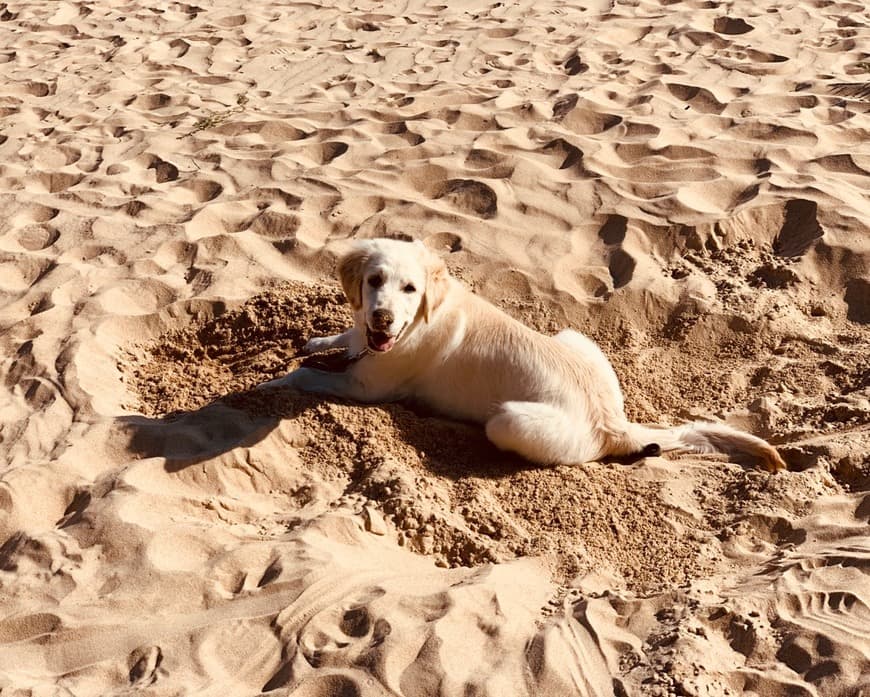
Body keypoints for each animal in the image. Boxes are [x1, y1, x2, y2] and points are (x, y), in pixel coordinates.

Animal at [260, 239, 792, 474]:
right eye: (374, 281)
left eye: (410, 289)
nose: (383, 318)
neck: (419, 321)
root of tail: (613, 423)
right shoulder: (362, 344)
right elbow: (339, 340)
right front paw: (317, 342)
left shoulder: (367, 387)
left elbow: (303, 377)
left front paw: (268, 385)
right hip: (575, 336)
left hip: (508, 421)